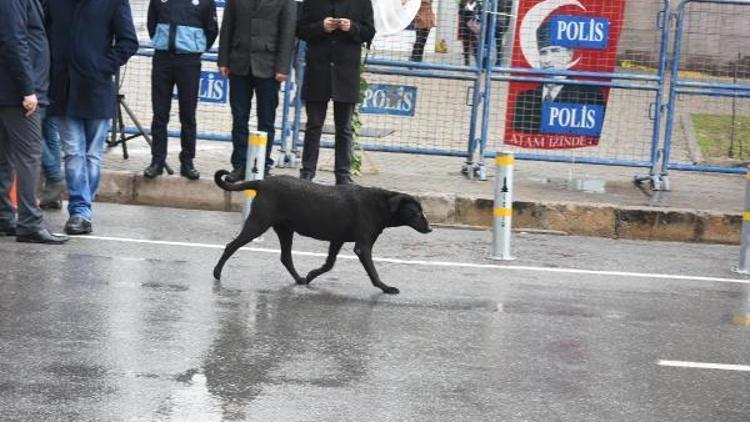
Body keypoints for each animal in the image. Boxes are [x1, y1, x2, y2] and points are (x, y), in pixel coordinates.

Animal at [214, 169, 432, 294]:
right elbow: (373, 271)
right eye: (415, 212)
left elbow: (329, 264)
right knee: (231, 246)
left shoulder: (337, 240)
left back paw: (300, 279)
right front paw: (386, 288)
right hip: (258, 224)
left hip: (285, 229)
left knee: (286, 257)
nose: (430, 228)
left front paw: (311, 275)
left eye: (422, 211)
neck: (381, 205)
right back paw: (216, 273)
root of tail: (262, 182)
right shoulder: (362, 246)